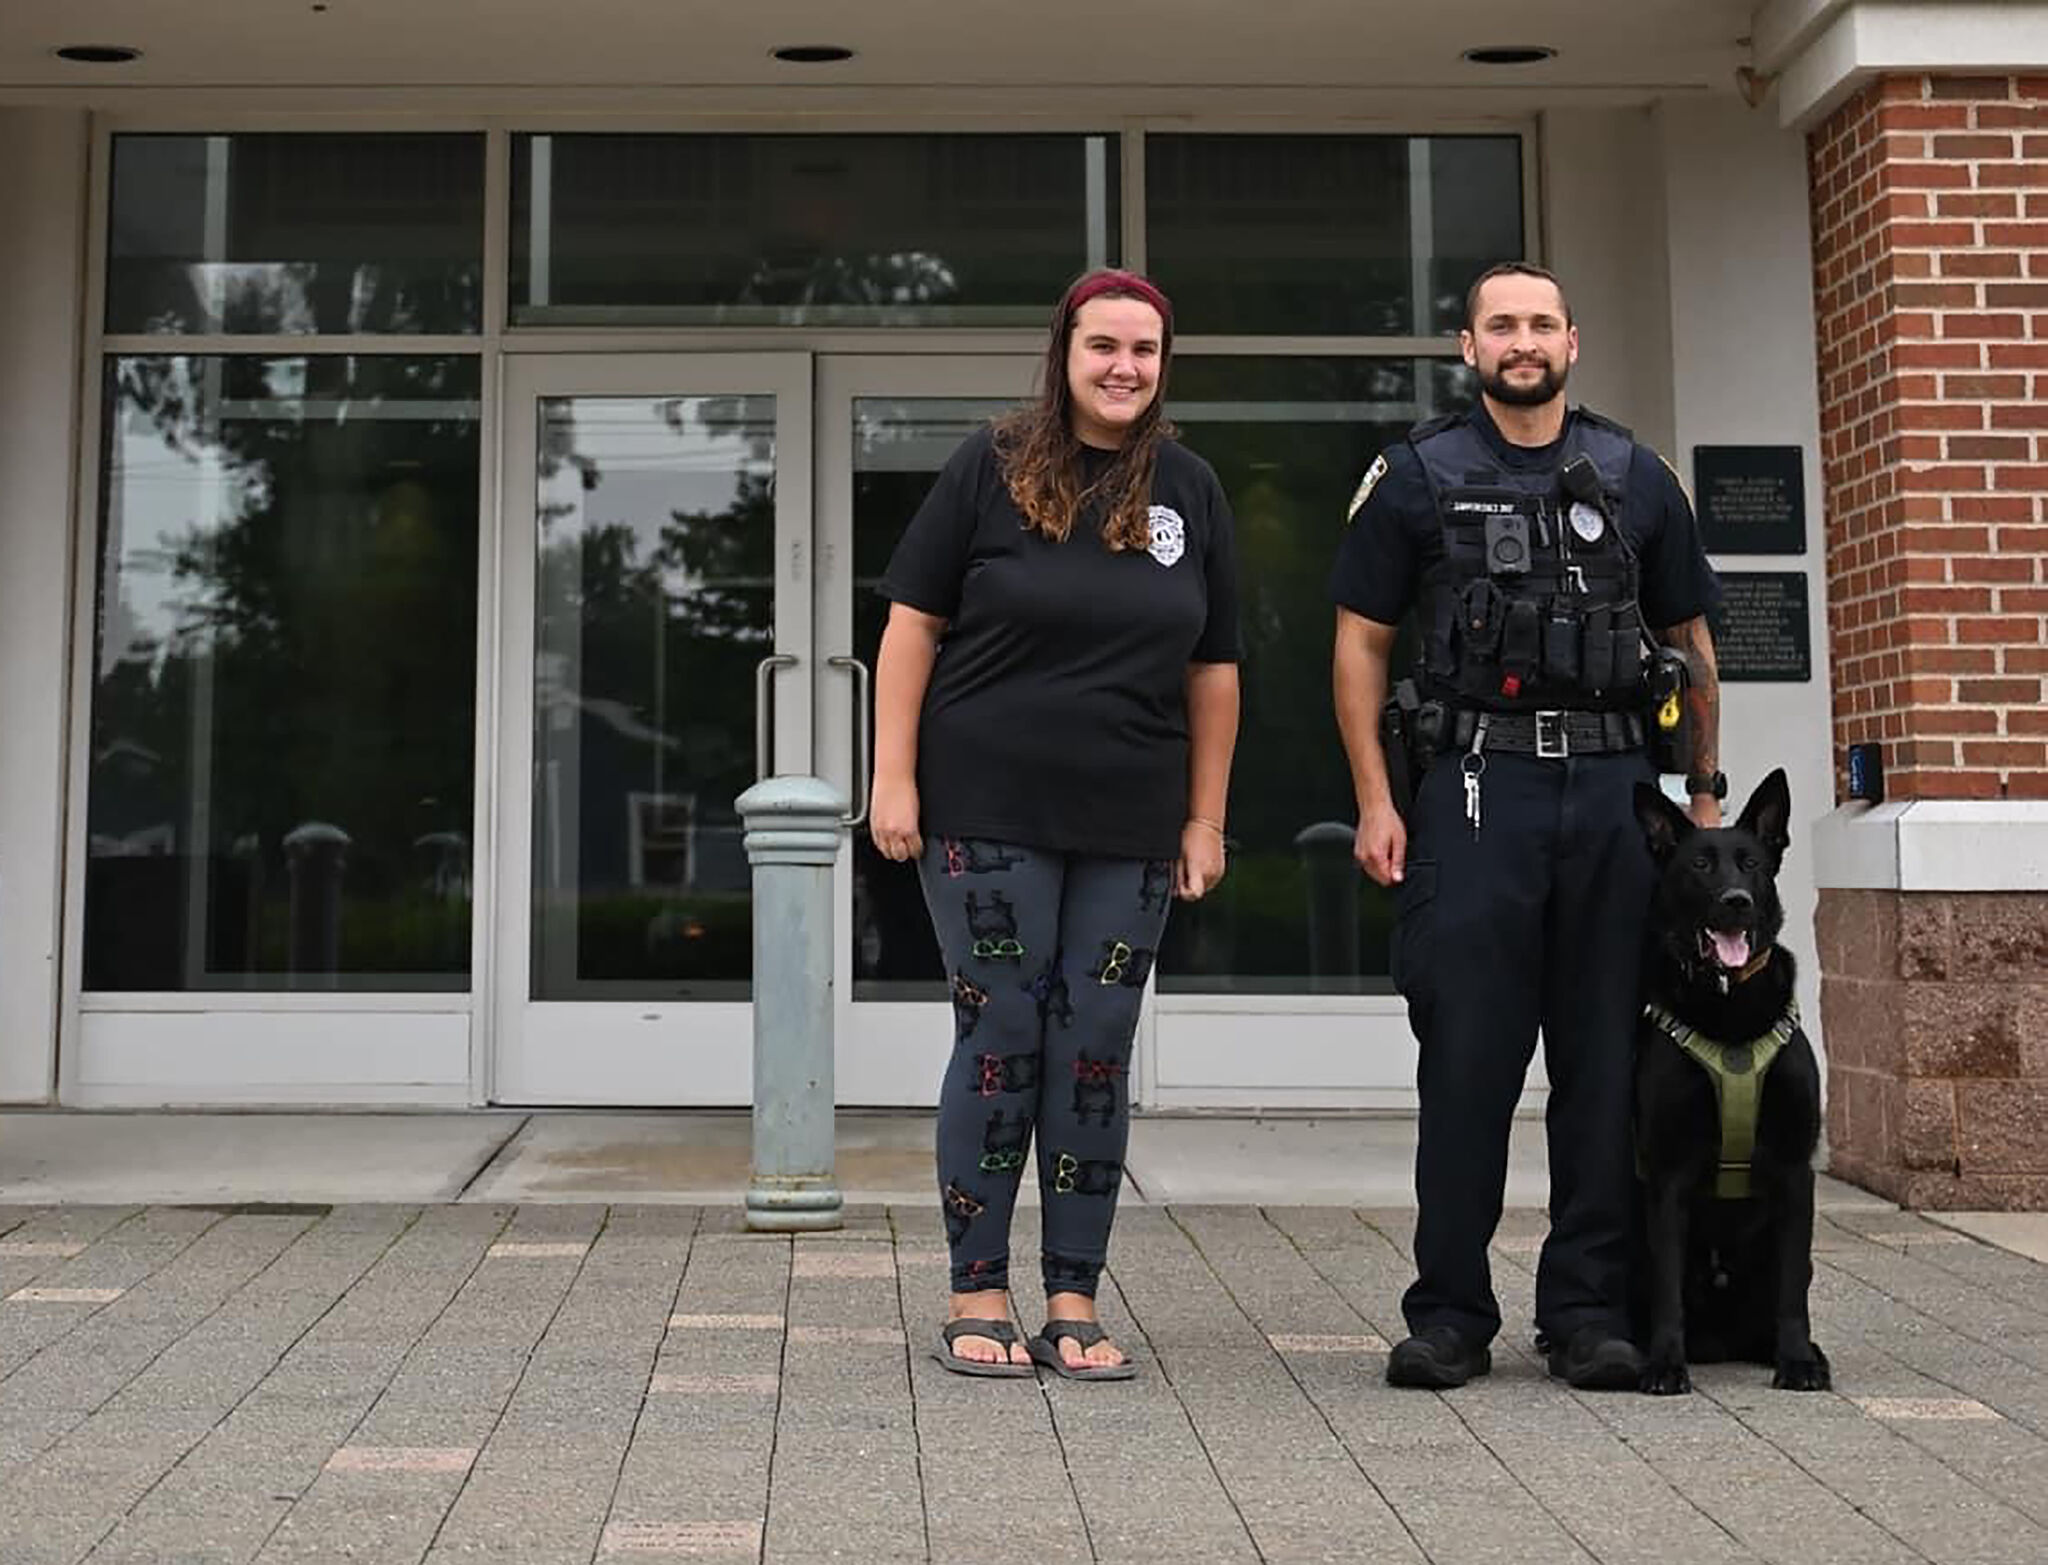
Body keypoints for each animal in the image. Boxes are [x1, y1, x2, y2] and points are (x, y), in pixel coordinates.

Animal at [1638, 770, 1835, 1392]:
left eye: (1751, 864)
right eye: (1700, 865)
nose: (1736, 903)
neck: (1728, 1007)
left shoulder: (1796, 1174)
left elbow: (1792, 1291)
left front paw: (1797, 1360)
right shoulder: (1669, 1177)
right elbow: (1666, 1288)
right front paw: (1664, 1363)